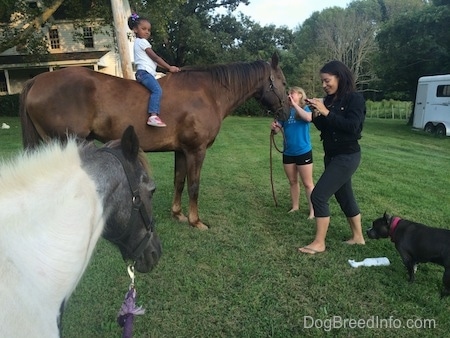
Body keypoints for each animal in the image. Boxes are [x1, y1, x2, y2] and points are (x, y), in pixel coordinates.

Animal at [19, 52, 290, 230]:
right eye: (284, 83)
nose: (287, 113)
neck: (208, 93)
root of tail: (36, 80)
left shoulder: (181, 151)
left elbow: (179, 182)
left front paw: (178, 215)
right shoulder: (196, 150)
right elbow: (194, 185)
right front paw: (196, 221)